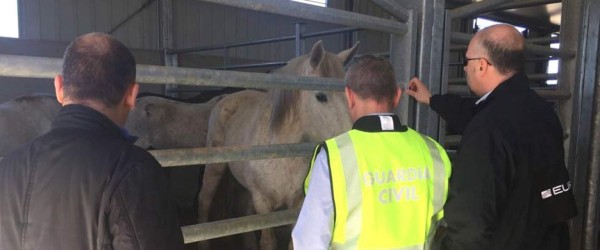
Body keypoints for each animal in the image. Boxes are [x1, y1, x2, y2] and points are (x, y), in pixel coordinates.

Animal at [199, 40, 358, 249]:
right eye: (321, 96)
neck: (282, 153)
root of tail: (225, 98)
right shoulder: (262, 202)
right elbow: (268, 242)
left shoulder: (297, 203)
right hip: (215, 168)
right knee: (205, 199)